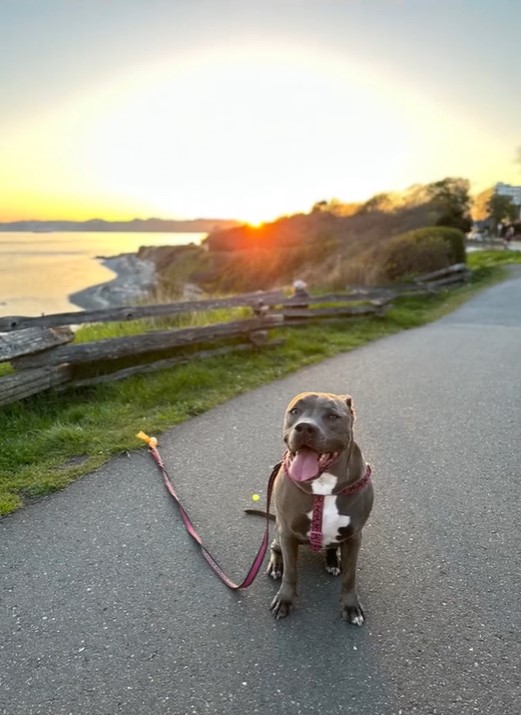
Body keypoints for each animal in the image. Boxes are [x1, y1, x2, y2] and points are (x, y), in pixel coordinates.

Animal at [266, 394, 372, 624]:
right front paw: (285, 600)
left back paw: (333, 561)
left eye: (332, 416)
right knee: (275, 547)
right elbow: (290, 573)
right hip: (278, 530)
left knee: (331, 548)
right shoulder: (287, 533)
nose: (304, 427)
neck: (323, 488)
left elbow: (350, 576)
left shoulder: (354, 537)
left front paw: (351, 607)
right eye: (295, 411)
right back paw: (276, 565)